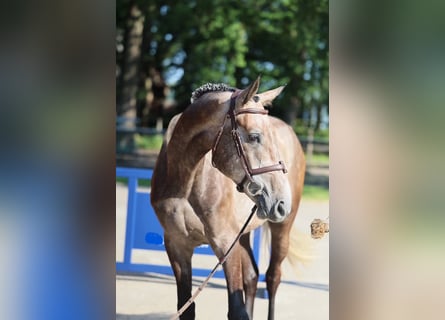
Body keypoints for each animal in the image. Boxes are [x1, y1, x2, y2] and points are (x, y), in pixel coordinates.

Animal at [151, 76, 306, 318]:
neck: (185, 180)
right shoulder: (177, 246)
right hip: (243, 233)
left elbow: (237, 310)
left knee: (273, 278)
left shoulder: (225, 245)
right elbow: (186, 307)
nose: (282, 202)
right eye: (254, 137)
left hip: (281, 228)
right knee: (252, 276)